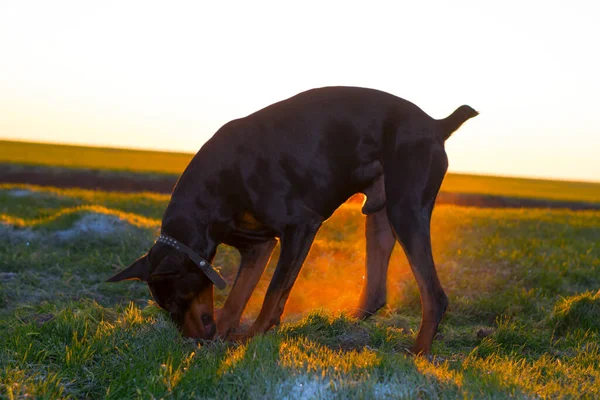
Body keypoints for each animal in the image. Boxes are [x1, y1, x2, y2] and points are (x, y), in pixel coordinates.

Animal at [108, 85, 478, 354]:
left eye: (176, 300)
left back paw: (415, 354)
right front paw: (226, 338)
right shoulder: (258, 245)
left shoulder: (300, 227)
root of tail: (435, 124)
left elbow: (273, 294)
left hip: (406, 209)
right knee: (376, 291)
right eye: (166, 306)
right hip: (379, 217)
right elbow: (235, 300)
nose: (194, 342)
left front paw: (251, 338)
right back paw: (340, 326)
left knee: (434, 295)